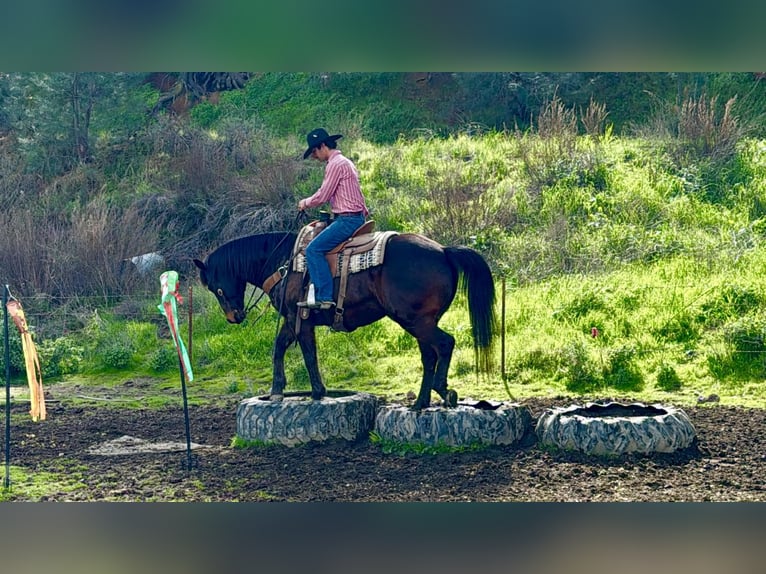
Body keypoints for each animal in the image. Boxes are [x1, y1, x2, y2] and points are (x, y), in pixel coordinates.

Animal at [193, 228, 497, 410]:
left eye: (216, 287)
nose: (234, 317)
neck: (284, 263)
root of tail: (443, 251)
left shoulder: (300, 319)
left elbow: (308, 355)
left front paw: (317, 392)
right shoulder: (293, 321)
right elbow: (279, 349)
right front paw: (278, 390)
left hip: (416, 321)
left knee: (444, 344)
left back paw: (443, 391)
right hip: (422, 321)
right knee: (429, 355)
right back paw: (420, 403)